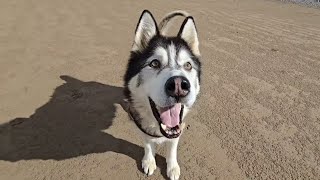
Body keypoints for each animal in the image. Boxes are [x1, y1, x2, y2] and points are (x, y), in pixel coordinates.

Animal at [124, 9, 201, 180]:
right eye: (154, 63)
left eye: (188, 65)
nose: (179, 85)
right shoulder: (142, 125)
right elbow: (147, 144)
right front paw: (149, 161)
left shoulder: (178, 127)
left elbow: (172, 147)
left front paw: (172, 167)